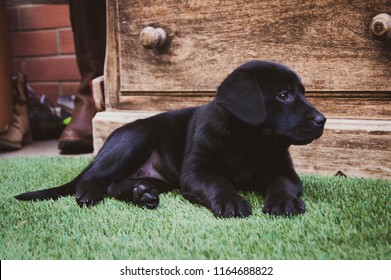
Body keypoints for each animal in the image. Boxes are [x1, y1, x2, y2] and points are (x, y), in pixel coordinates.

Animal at [16, 60, 328, 219]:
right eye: (283, 95)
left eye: (302, 93)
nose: (322, 120)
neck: (248, 142)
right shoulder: (197, 171)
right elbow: (218, 182)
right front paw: (231, 201)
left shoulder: (282, 169)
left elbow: (282, 183)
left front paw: (284, 202)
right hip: (137, 138)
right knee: (93, 179)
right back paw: (92, 193)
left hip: (160, 177)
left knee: (115, 185)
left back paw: (141, 193)